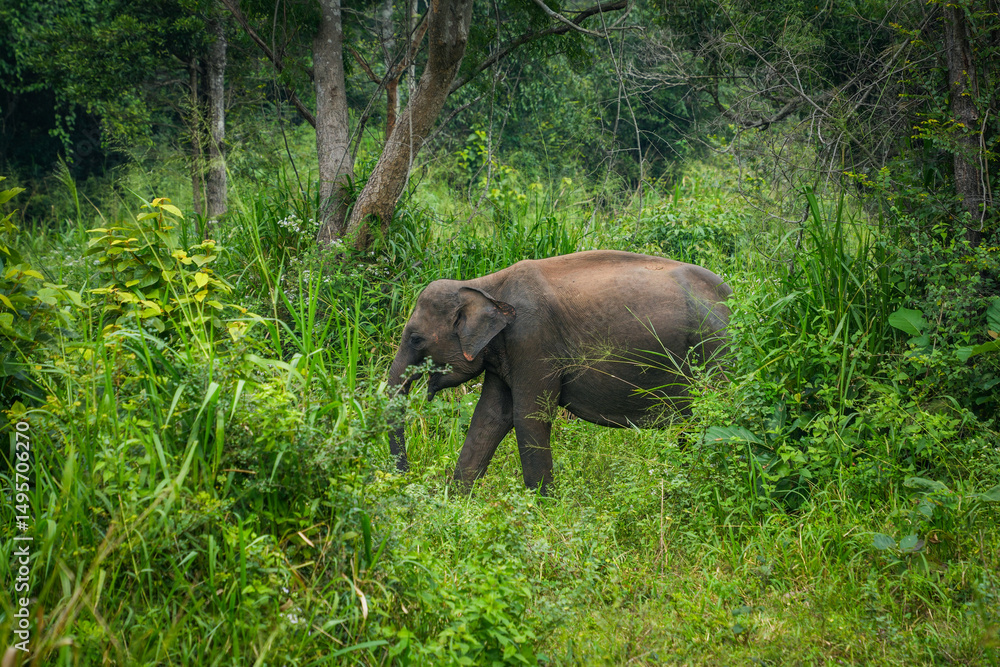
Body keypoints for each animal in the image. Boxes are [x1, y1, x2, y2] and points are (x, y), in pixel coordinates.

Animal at [387, 249, 732, 492]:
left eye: (416, 339)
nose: (405, 474)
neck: (484, 285)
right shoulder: (505, 352)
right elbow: (490, 417)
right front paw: (456, 502)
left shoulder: (533, 340)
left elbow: (529, 415)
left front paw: (541, 510)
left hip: (715, 350)